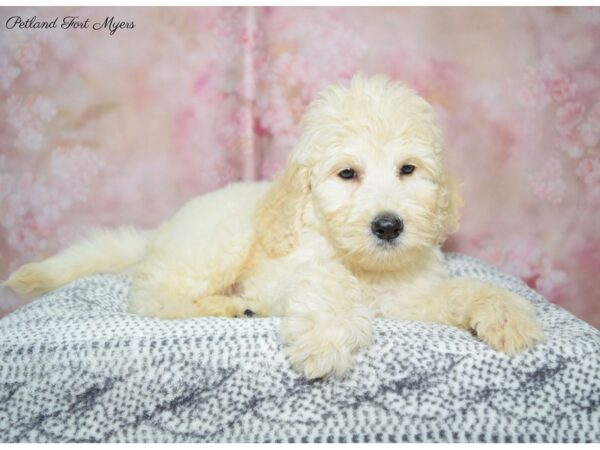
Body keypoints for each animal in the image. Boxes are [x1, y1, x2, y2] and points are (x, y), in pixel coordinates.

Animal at [3, 74, 544, 380]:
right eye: (347, 174)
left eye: (408, 170)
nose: (388, 226)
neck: (368, 268)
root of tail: (161, 230)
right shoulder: (290, 272)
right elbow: (328, 280)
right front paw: (326, 338)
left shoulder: (410, 299)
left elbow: (465, 289)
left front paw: (507, 317)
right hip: (217, 243)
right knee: (153, 298)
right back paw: (228, 306)